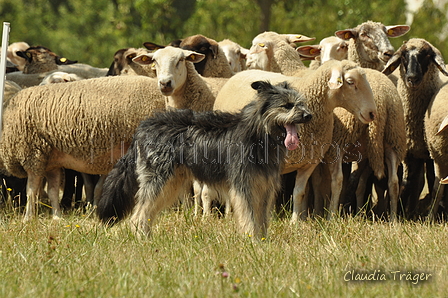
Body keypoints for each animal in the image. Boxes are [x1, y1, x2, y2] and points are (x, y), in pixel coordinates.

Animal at [96, 80, 312, 239]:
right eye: (287, 106)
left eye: (301, 103)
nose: (309, 115)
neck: (259, 134)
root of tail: (143, 126)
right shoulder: (244, 186)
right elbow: (250, 217)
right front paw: (252, 241)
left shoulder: (264, 187)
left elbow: (262, 219)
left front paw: (263, 241)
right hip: (158, 180)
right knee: (139, 214)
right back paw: (142, 239)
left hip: (171, 182)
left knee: (147, 212)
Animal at [214, 59, 378, 221]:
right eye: (350, 82)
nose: (372, 113)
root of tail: (240, 72)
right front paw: (270, 218)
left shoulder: (309, 163)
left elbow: (299, 192)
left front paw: (295, 221)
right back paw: (229, 214)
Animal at [382, 38, 448, 218]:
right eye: (404, 55)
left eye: (427, 55)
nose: (412, 78)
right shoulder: (410, 152)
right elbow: (408, 183)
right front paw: (401, 213)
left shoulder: (432, 153)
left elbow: (433, 182)